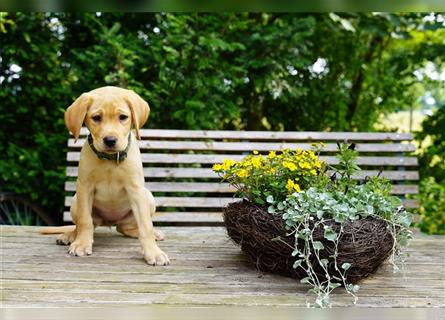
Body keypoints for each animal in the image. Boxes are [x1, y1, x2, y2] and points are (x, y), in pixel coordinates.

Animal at [44, 85, 168, 264]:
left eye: (123, 117)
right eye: (96, 118)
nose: (110, 140)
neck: (110, 160)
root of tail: (109, 221)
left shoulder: (136, 191)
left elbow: (146, 226)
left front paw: (154, 252)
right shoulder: (85, 187)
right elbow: (85, 221)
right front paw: (81, 244)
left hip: (148, 197)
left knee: (125, 228)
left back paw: (151, 233)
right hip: (75, 201)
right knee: (83, 225)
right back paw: (70, 236)